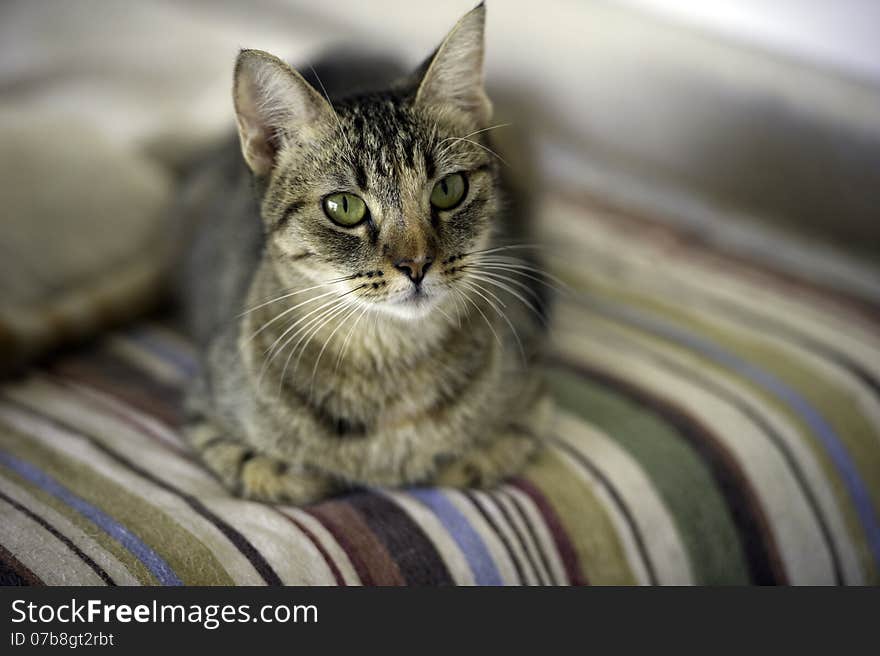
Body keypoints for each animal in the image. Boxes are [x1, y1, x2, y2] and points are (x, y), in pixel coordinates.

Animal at [175, 3, 552, 502]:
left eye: (448, 189)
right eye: (344, 206)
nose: (416, 264)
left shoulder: (531, 402)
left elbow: (471, 460)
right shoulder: (205, 416)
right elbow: (286, 475)